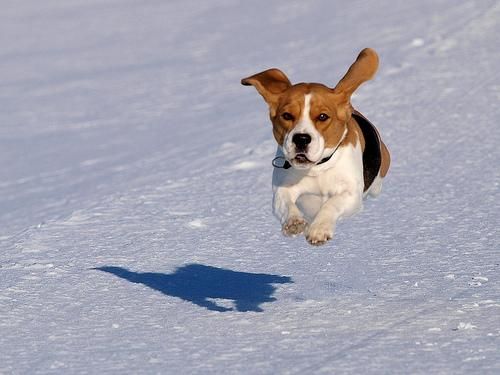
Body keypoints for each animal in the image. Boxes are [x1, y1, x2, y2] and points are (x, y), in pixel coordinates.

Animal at [242, 47, 390, 247]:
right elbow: (286, 203)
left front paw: (319, 230)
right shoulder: (281, 190)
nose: (301, 139)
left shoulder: (351, 194)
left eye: (322, 116)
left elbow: (331, 204)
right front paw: (294, 223)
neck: (317, 168)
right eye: (287, 115)